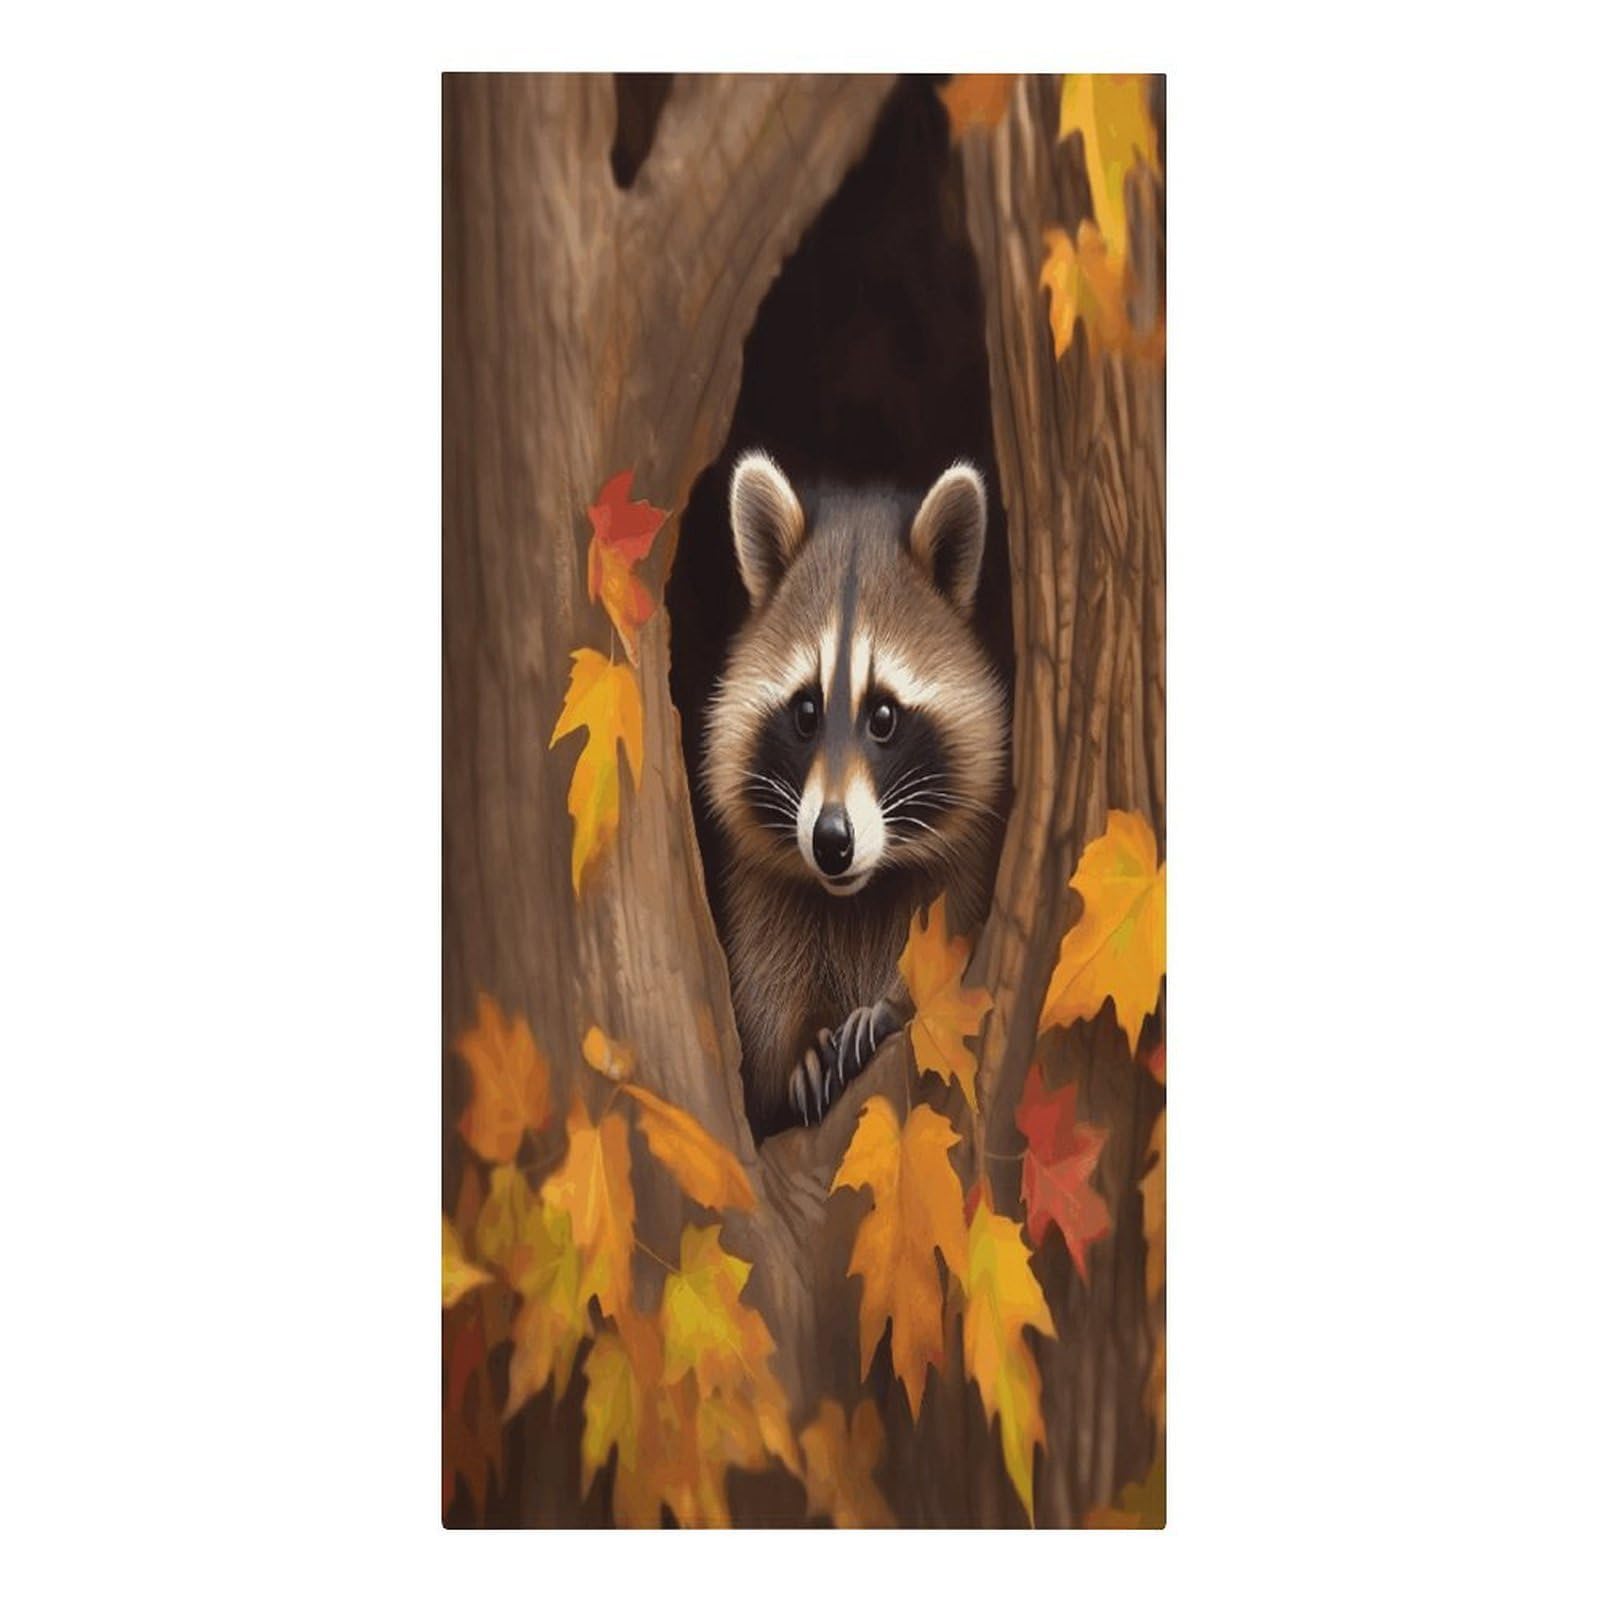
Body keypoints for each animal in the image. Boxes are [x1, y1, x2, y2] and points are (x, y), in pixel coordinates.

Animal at [704, 451, 1007, 1138]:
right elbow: (766, 992)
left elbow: (950, 936)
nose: (832, 841)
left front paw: (894, 1005)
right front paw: (798, 1042)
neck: (857, 893)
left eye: (885, 717)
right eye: (806, 712)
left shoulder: (968, 864)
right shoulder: (761, 888)